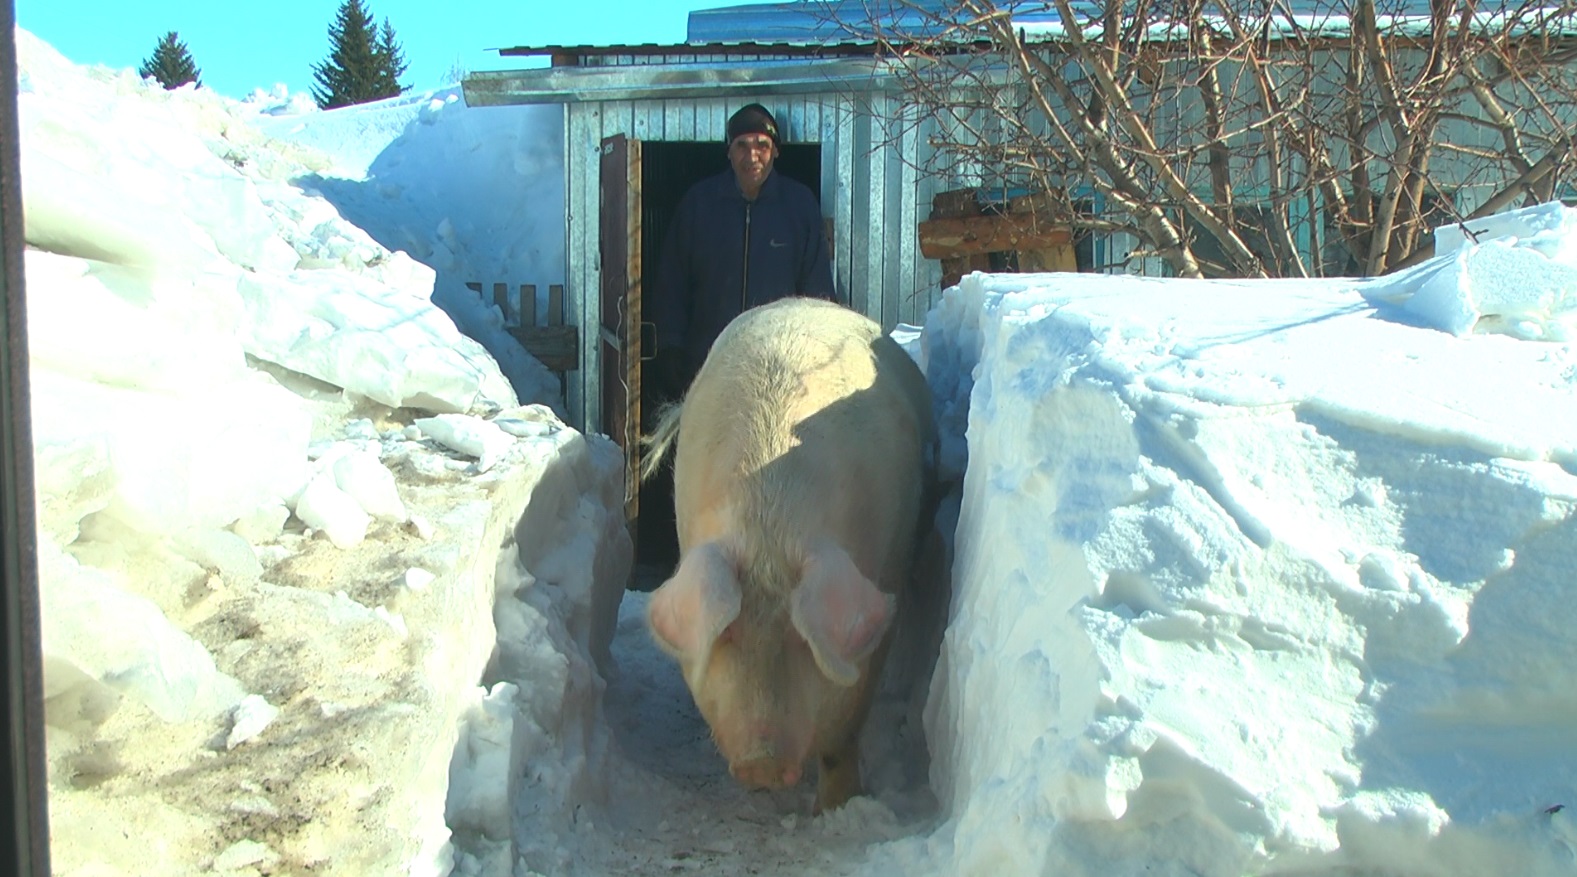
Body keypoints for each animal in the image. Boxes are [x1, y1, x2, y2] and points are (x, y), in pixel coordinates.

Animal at [640, 296, 933, 813]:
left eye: (802, 638)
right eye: (728, 632)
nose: (763, 763)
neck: (769, 526)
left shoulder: (886, 583)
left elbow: (846, 725)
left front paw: (834, 811)